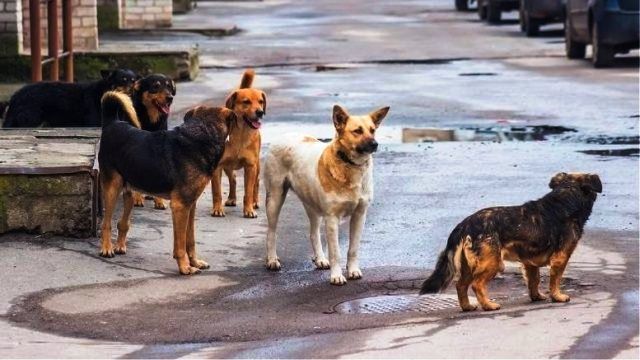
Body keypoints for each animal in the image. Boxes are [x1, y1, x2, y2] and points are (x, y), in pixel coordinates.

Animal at [1, 69, 138, 128]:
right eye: (123, 80)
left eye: (134, 80)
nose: (133, 89)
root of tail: (15, 97)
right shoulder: (95, 122)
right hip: (33, 117)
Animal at [97, 91, 232, 274]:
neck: (202, 133)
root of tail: (112, 123)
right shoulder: (180, 206)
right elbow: (180, 244)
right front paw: (185, 267)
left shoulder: (191, 205)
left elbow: (190, 240)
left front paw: (195, 262)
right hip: (112, 187)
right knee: (106, 223)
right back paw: (106, 248)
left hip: (130, 191)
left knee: (122, 222)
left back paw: (120, 246)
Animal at [211, 69, 266, 218]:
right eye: (246, 102)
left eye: (261, 102)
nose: (260, 112)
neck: (240, 135)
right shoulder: (217, 167)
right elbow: (217, 191)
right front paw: (217, 209)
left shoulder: (250, 166)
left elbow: (248, 191)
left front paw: (249, 209)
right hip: (228, 166)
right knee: (233, 179)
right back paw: (231, 198)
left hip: (257, 166)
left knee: (256, 183)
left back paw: (255, 201)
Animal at [262, 105, 390, 286]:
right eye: (357, 131)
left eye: (372, 130)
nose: (375, 144)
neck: (350, 165)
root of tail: (284, 135)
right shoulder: (332, 219)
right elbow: (335, 252)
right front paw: (336, 276)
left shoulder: (359, 215)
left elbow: (353, 249)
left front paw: (353, 270)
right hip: (275, 198)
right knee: (271, 232)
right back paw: (272, 259)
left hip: (312, 205)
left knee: (313, 233)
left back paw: (320, 259)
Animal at [420, 173, 600, 310]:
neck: (566, 195)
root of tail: (465, 224)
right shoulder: (560, 258)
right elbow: (555, 280)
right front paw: (558, 297)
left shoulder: (529, 263)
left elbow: (533, 281)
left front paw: (536, 296)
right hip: (493, 263)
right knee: (477, 285)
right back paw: (489, 306)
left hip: (469, 266)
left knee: (461, 285)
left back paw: (467, 307)